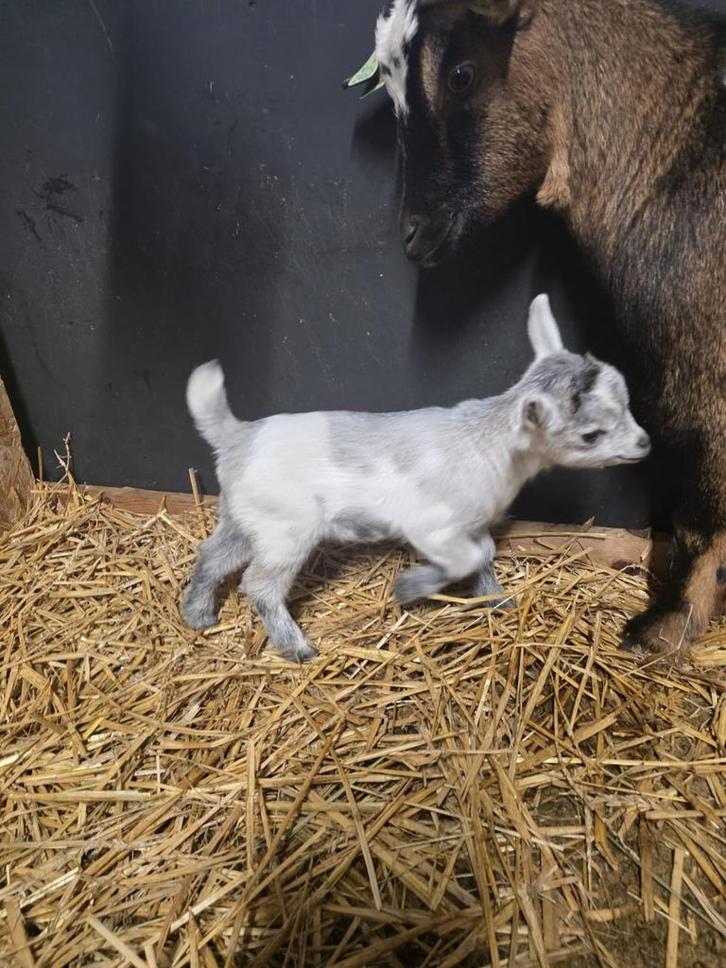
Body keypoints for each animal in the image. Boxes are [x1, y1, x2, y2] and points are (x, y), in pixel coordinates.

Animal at [182, 295, 650, 662]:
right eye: (591, 434)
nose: (645, 443)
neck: (489, 440)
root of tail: (238, 436)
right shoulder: (432, 526)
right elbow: (463, 558)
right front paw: (410, 588)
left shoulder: (472, 524)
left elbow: (482, 553)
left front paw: (495, 597)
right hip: (286, 531)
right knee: (259, 584)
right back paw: (295, 647)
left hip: (246, 519)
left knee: (212, 555)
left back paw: (199, 614)